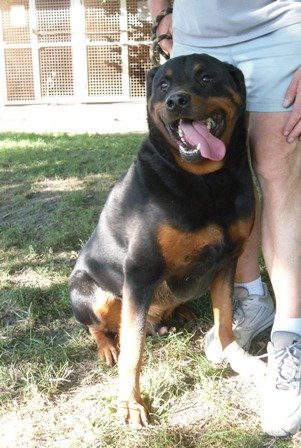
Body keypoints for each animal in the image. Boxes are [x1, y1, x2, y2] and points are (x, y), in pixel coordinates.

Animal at [69, 53, 254, 428]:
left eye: (206, 77)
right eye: (164, 84)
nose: (176, 101)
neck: (205, 180)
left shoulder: (228, 260)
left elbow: (225, 316)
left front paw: (232, 353)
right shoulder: (141, 272)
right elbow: (133, 351)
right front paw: (130, 403)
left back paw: (181, 311)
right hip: (86, 290)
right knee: (99, 327)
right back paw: (107, 347)